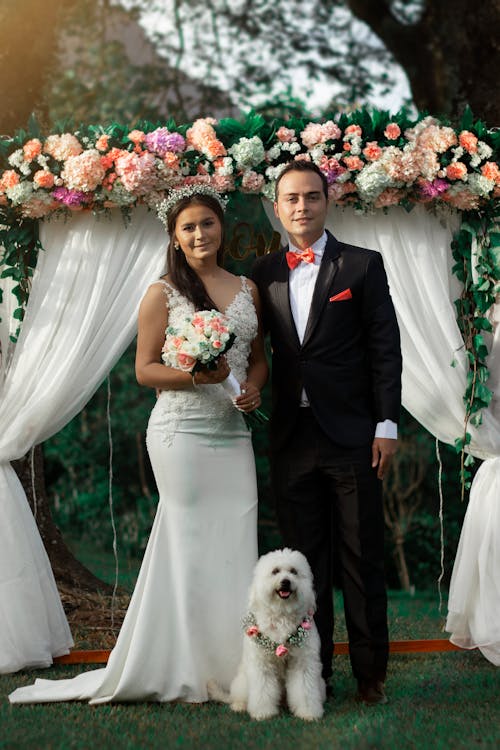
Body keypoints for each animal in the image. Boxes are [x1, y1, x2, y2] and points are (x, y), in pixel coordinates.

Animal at [209, 548, 326, 720]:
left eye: (294, 571)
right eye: (275, 571)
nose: (286, 581)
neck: (282, 614)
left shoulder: (303, 663)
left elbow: (304, 689)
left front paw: (308, 712)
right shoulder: (261, 664)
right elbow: (263, 690)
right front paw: (263, 713)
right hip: (242, 682)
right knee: (238, 696)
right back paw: (239, 705)